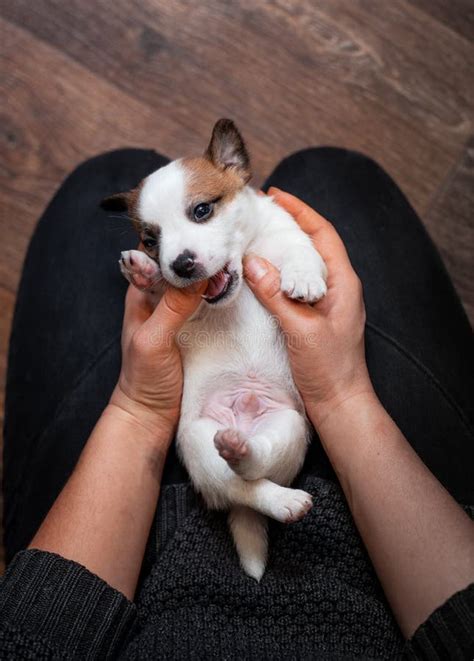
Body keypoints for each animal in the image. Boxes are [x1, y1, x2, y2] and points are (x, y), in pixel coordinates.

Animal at [102, 121, 328, 580]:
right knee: (238, 487)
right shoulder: (163, 309)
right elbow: (157, 292)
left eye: (202, 211)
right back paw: (275, 492)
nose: (181, 264)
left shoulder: (287, 235)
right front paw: (145, 271)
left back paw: (252, 460)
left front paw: (302, 278)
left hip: (288, 429)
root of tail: (243, 424)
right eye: (150, 240)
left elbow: (299, 251)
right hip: (198, 443)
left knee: (256, 468)